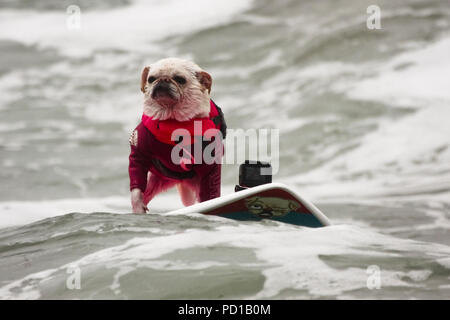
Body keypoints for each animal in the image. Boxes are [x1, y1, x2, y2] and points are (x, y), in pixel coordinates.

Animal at [128, 57, 227, 214]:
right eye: (151, 79)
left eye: (180, 79)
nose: (163, 80)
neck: (172, 120)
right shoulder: (139, 153)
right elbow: (136, 186)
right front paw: (137, 205)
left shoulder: (210, 167)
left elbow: (210, 194)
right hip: (158, 179)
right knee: (146, 191)